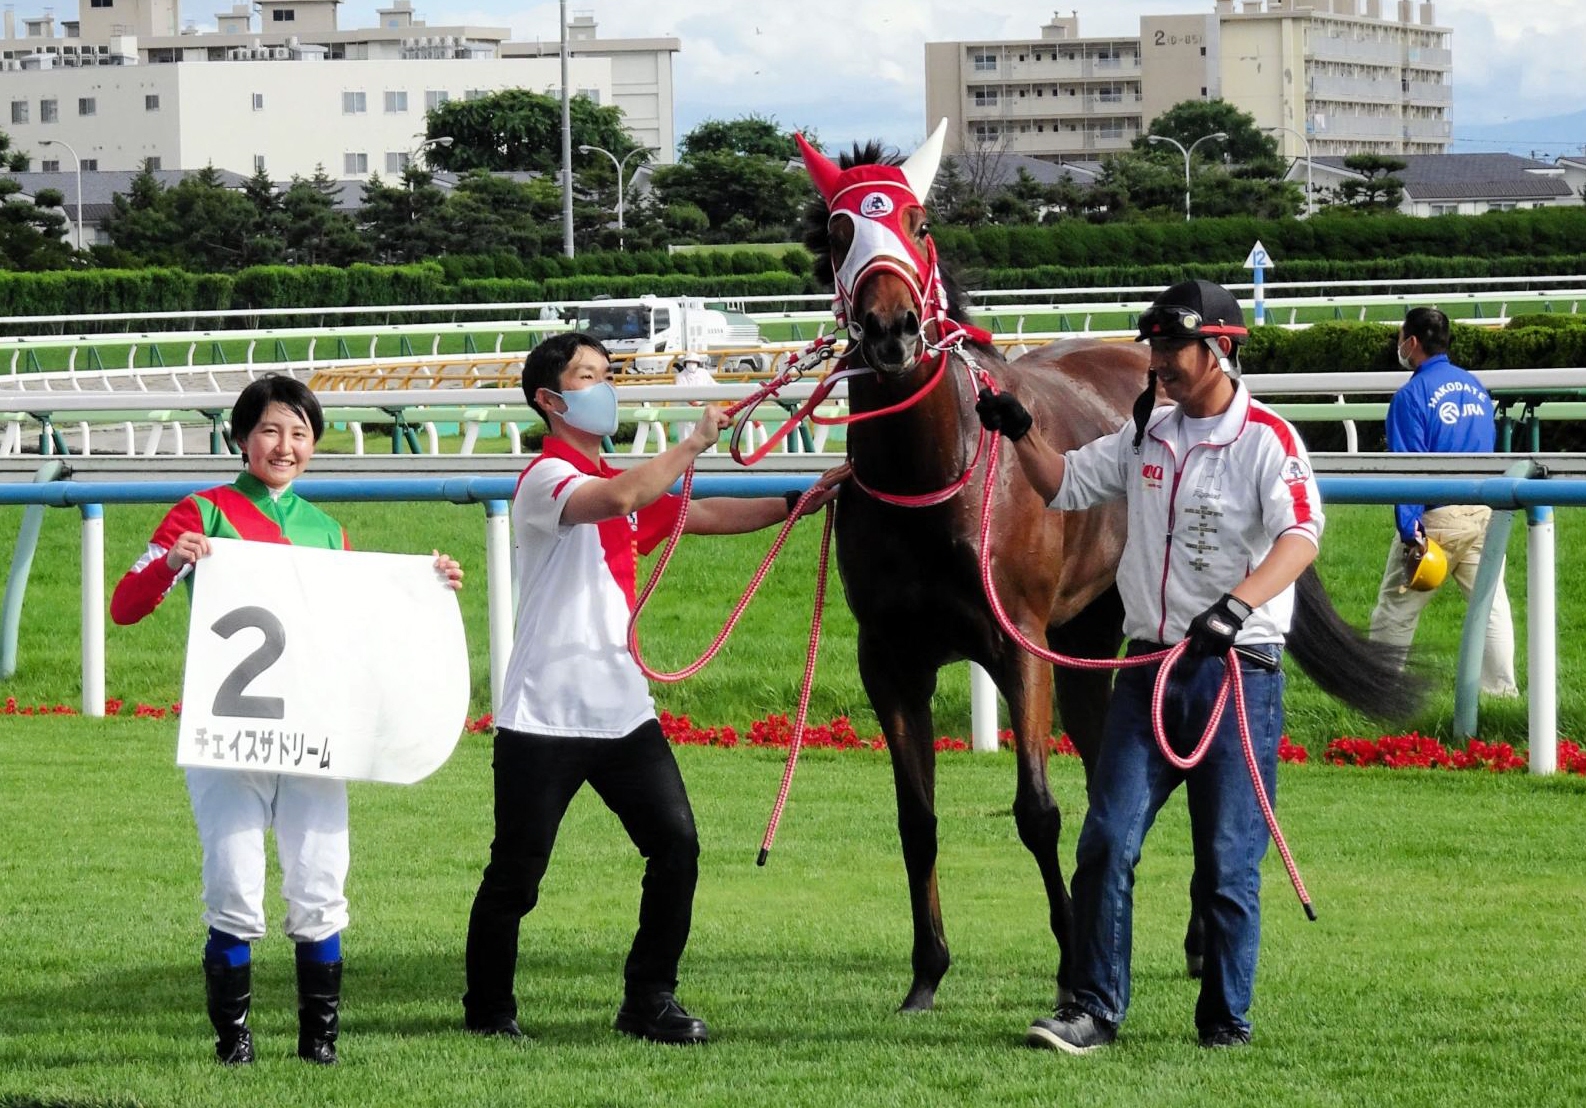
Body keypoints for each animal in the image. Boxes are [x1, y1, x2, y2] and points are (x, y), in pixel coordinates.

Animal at [799, 123, 1421, 1014]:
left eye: (918, 223)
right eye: (839, 233)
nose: (891, 329)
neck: (930, 477)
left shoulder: (1017, 644)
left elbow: (1037, 811)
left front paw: (1069, 962)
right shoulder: (889, 659)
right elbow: (917, 820)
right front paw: (928, 970)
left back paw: (1194, 939)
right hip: (1085, 639)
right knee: (1109, 777)